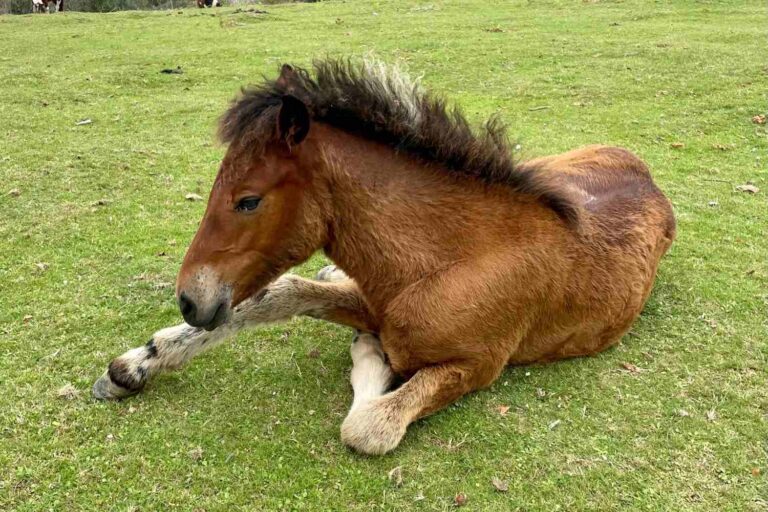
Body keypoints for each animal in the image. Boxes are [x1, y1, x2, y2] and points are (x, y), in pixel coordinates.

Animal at [93, 58, 676, 455]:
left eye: (248, 200)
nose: (190, 300)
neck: (446, 261)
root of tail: (641, 168)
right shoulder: (374, 300)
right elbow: (279, 295)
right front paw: (138, 362)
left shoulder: (478, 366)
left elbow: (368, 427)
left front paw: (371, 357)